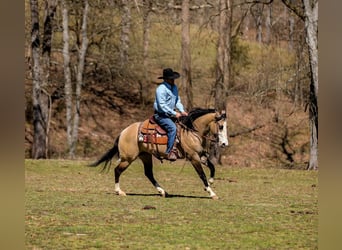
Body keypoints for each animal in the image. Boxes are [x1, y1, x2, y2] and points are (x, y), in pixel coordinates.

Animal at [88, 107, 228, 199]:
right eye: (221, 126)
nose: (224, 144)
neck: (191, 131)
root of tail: (123, 132)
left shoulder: (201, 155)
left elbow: (212, 167)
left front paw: (211, 182)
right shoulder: (193, 157)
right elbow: (202, 174)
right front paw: (211, 192)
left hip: (145, 156)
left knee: (148, 173)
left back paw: (163, 192)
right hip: (128, 158)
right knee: (117, 170)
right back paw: (119, 191)